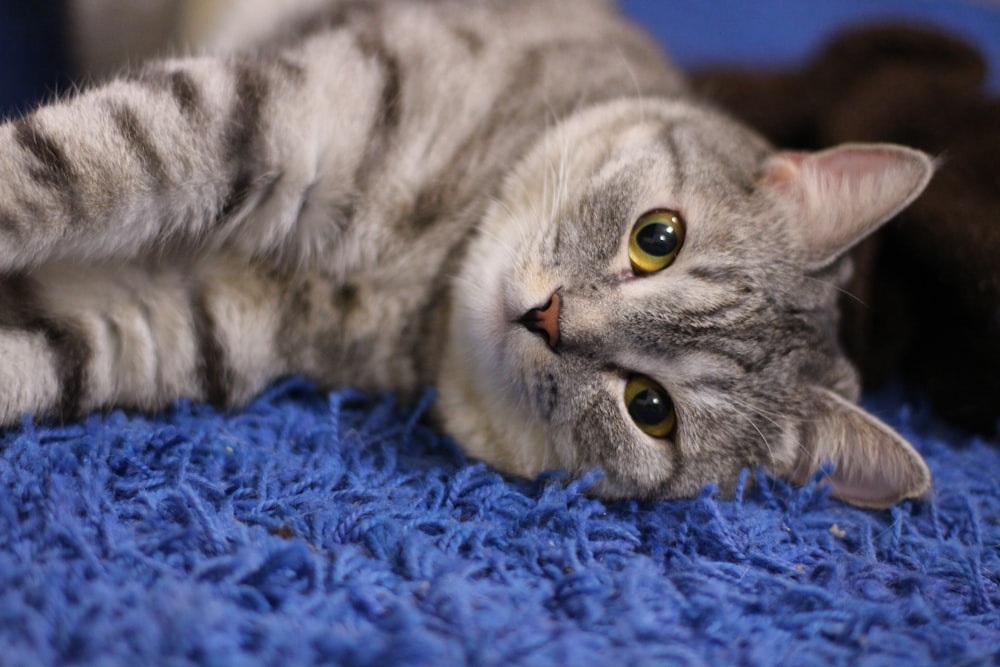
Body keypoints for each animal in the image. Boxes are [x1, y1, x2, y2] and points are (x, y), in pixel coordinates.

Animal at [3, 0, 932, 506]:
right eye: (657, 237)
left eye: (651, 407)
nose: (550, 317)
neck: (426, 270)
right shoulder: (277, 114)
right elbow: (61, 167)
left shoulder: (170, 315)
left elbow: (38, 354)